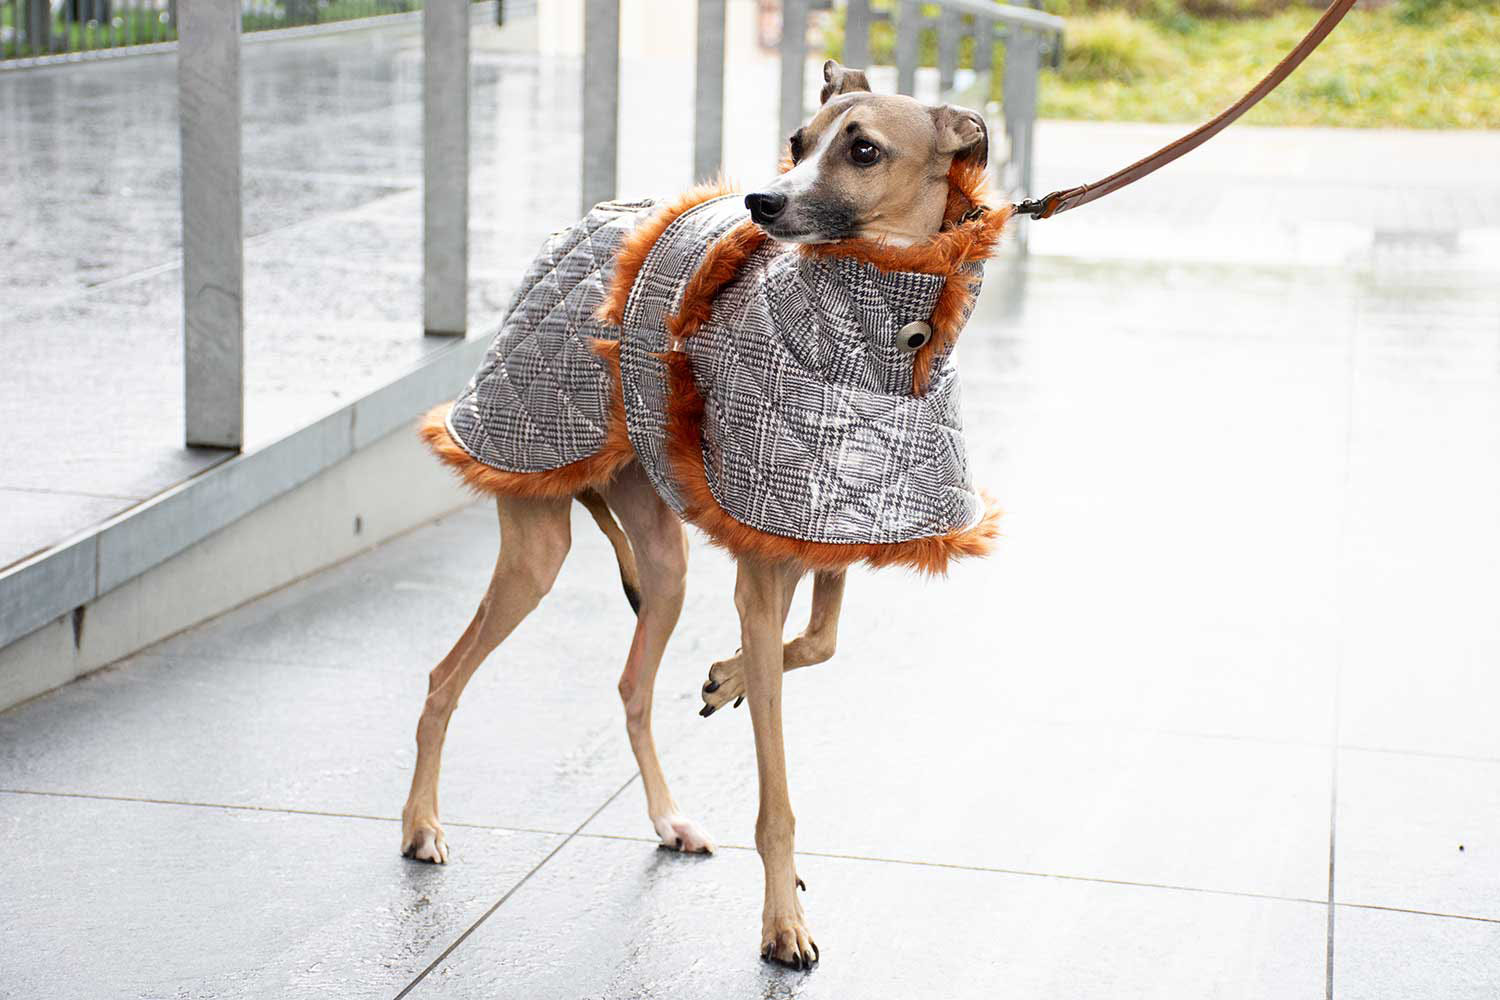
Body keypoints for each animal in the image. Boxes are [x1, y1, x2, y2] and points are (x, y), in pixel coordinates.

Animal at [401, 60, 1002, 970]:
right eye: (796, 140)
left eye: (862, 149)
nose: (762, 201)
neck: (876, 342)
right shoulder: (764, 575)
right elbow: (777, 797)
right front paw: (782, 924)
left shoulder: (823, 529)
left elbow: (820, 643)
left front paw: (726, 677)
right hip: (535, 537)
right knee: (443, 679)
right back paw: (421, 827)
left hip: (665, 561)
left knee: (630, 687)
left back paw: (667, 818)